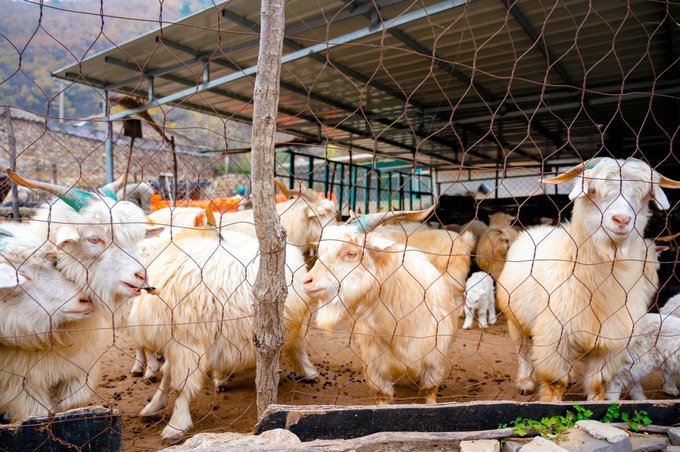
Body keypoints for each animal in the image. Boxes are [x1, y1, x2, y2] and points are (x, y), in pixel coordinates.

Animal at [128, 223, 318, 441]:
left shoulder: (186, 346)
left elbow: (180, 385)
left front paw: (175, 426)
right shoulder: (176, 345)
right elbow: (168, 376)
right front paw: (153, 407)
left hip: (294, 324)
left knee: (298, 348)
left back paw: (308, 372)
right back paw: (221, 378)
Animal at [302, 206, 460, 405]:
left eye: (351, 253)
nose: (307, 281)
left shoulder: (434, 360)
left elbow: (430, 393)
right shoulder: (376, 364)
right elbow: (383, 396)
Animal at [496, 157, 680, 401]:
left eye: (644, 196)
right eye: (593, 190)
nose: (622, 220)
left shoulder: (611, 343)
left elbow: (597, 384)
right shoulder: (553, 336)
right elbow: (555, 382)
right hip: (514, 318)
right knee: (523, 351)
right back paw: (525, 381)